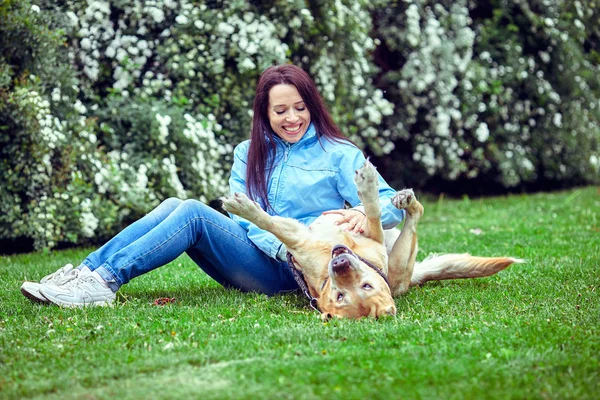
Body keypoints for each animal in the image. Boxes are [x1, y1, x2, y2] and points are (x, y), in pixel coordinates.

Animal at [223, 159, 524, 318]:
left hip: (398, 256)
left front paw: (245, 208)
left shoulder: (307, 238)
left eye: (366, 287)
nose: (340, 264)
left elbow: (272, 223)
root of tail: (408, 279)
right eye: (340, 296)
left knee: (414, 212)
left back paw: (404, 199)